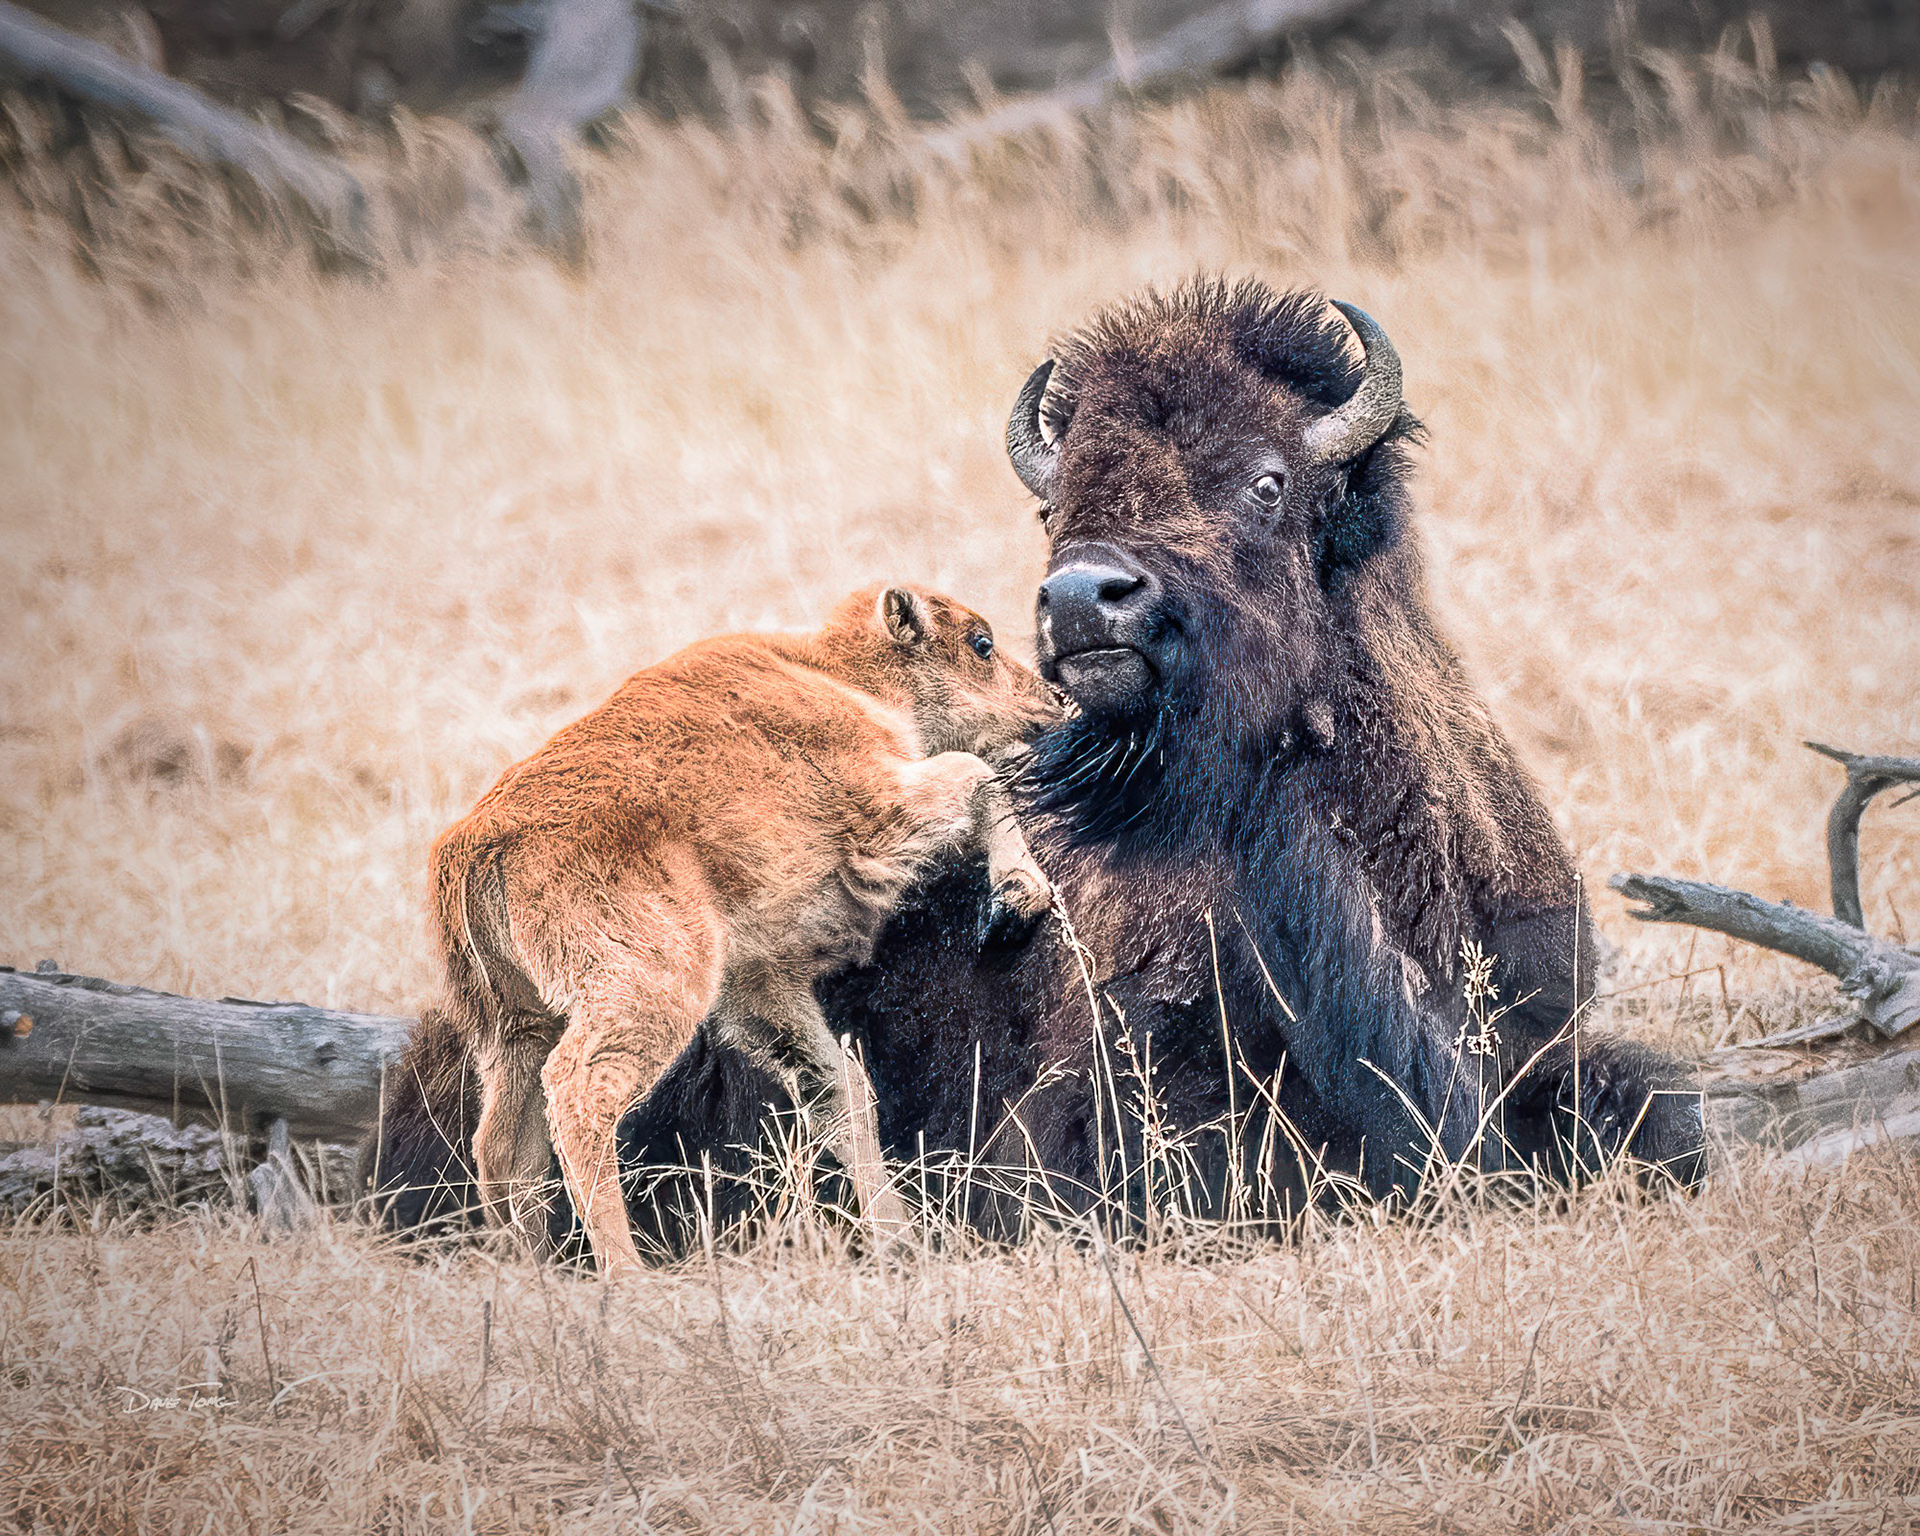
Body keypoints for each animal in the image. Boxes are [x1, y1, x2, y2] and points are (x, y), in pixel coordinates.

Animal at [409, 582, 1060, 1275]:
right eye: (981, 643)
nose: (1051, 701)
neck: (839, 676)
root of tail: (478, 842)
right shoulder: (882, 808)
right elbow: (977, 775)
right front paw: (1023, 893)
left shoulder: (759, 985)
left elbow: (840, 1093)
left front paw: (899, 1238)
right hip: (650, 989)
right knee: (580, 1093)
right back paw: (628, 1272)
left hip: (515, 1029)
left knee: (502, 1143)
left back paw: (531, 1265)